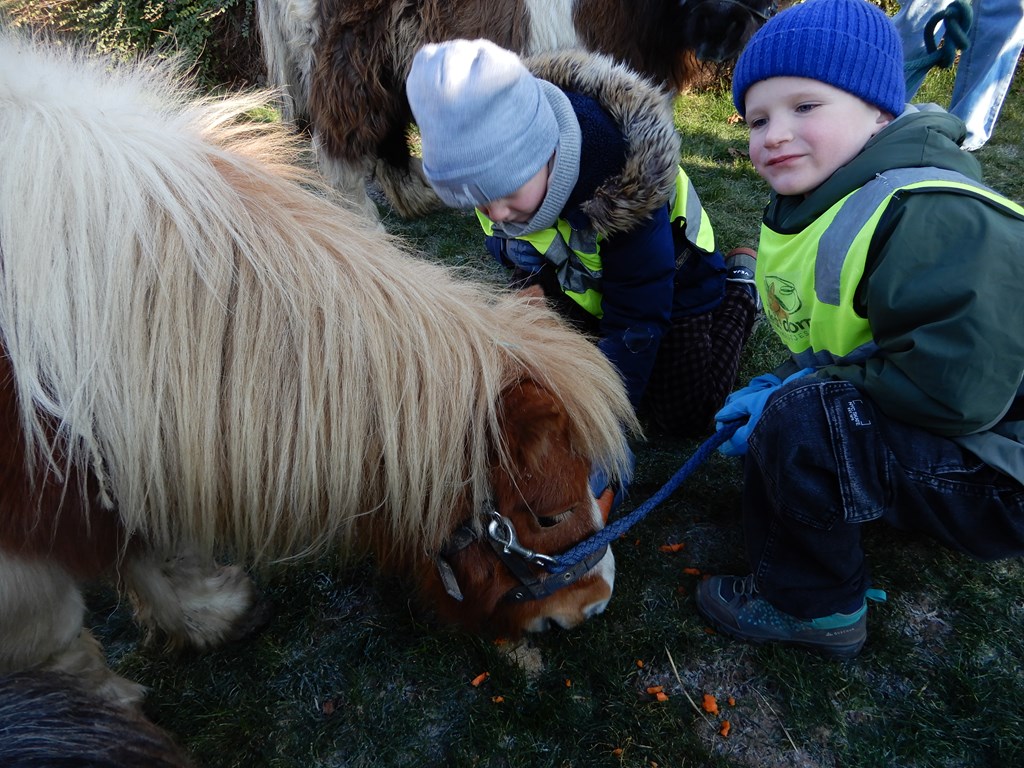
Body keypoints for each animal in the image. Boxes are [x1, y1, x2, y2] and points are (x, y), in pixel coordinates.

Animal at [0, 30, 637, 709]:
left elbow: (154, 552)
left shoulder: (126, 458)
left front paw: (212, 615)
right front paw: (91, 709)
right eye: (546, 516)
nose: (595, 605)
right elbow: (58, 639)